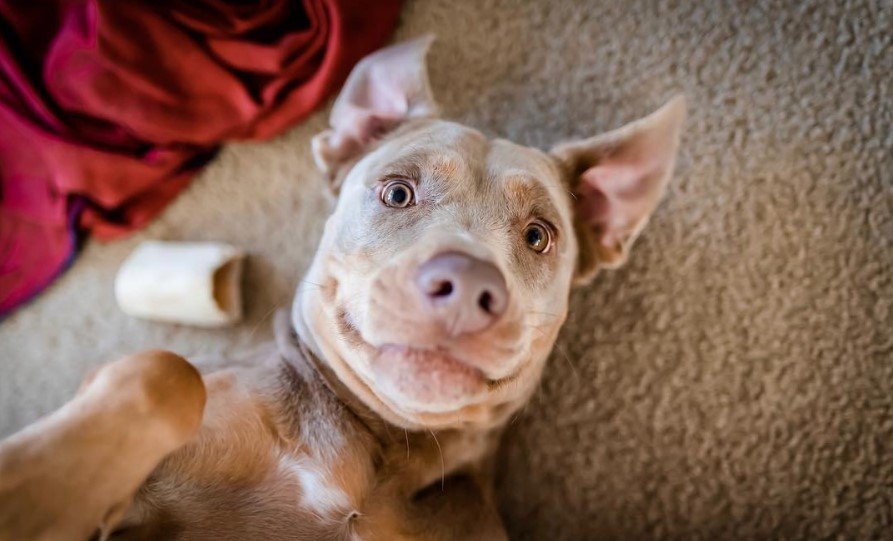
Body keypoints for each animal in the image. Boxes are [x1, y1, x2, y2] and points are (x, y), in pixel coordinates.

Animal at [0, 35, 684, 536]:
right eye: (398, 193)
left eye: (539, 235)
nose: (466, 284)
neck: (374, 450)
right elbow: (167, 370)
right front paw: (34, 490)